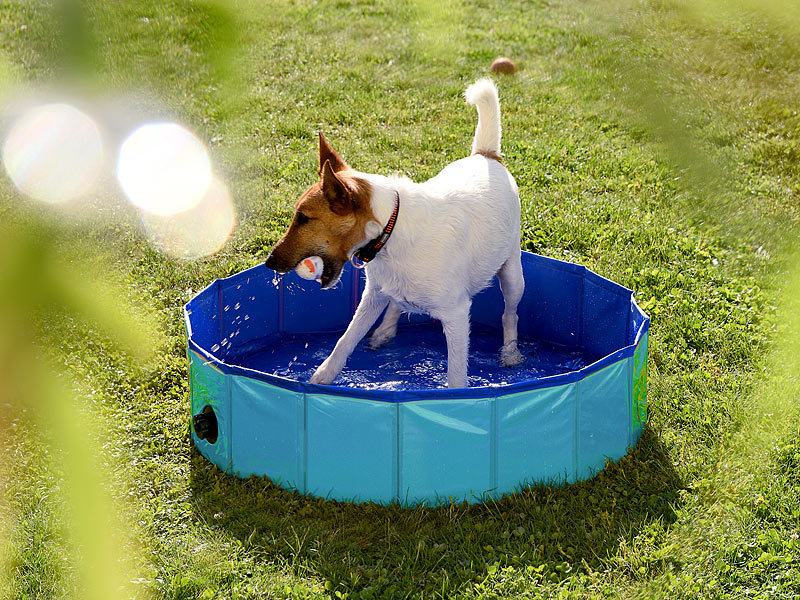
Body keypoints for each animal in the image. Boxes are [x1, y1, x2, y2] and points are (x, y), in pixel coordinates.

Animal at [264, 78, 524, 390]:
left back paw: (510, 353)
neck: (391, 229)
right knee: (395, 303)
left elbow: (456, 376)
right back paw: (384, 332)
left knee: (510, 314)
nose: (269, 262)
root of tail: (485, 155)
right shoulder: (371, 295)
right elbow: (344, 342)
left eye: (303, 218)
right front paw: (319, 379)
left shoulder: (457, 314)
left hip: (513, 273)